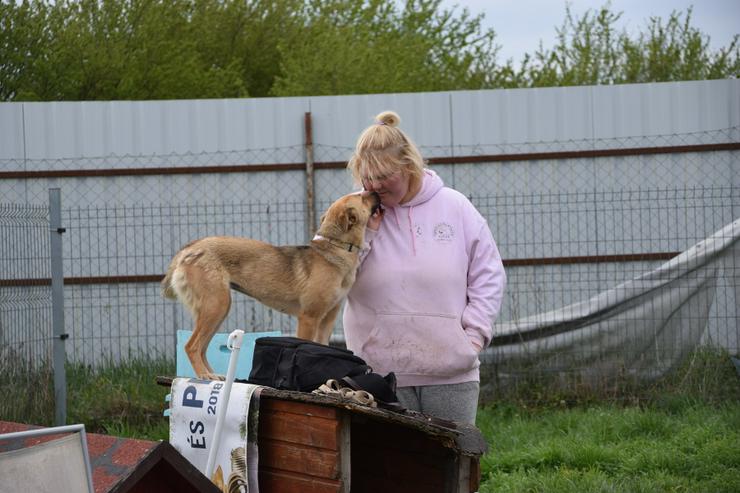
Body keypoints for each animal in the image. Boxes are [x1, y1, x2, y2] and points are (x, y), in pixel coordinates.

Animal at [163, 190, 382, 378]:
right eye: (361, 197)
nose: (375, 192)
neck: (336, 249)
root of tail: (189, 249)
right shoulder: (309, 318)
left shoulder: (327, 319)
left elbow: (322, 345)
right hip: (216, 305)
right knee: (191, 346)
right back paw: (204, 375)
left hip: (218, 309)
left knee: (202, 347)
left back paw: (212, 375)